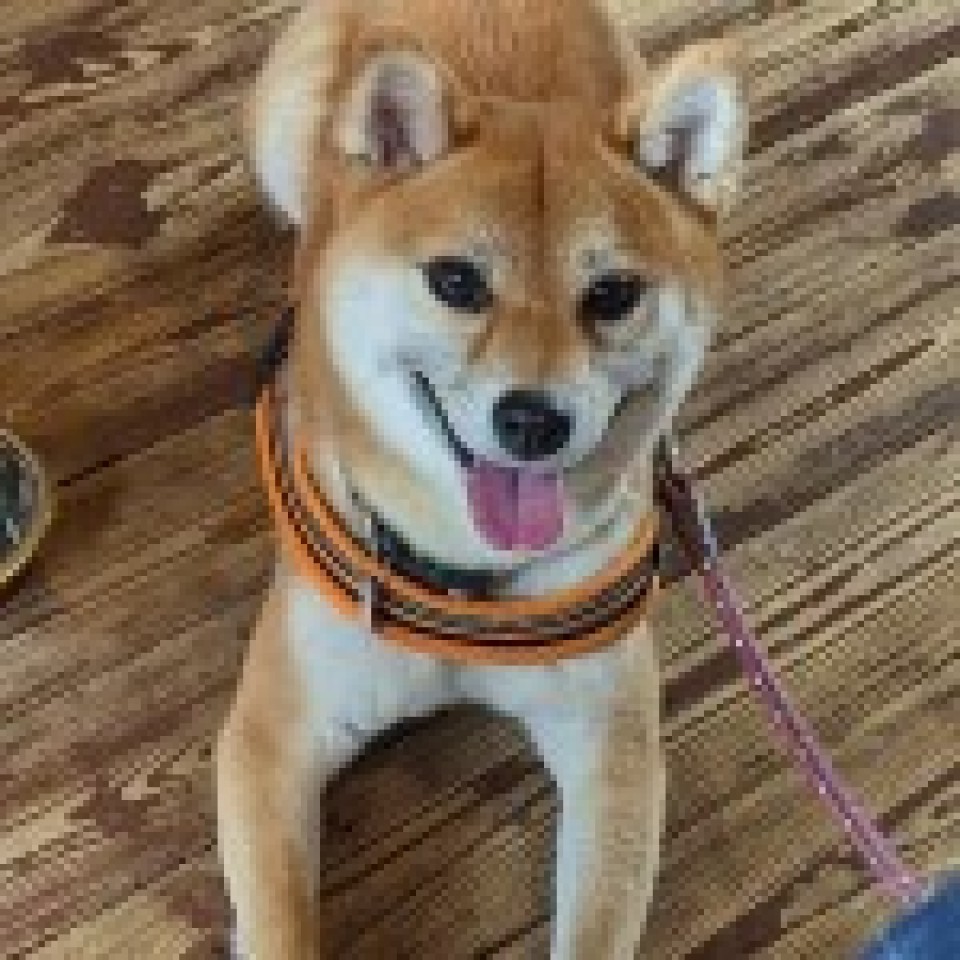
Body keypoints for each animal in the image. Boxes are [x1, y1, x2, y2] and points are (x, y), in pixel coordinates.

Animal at [216, 1, 745, 957]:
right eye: (456, 282)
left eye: (613, 295)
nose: (532, 421)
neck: (469, 578)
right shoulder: (270, 746)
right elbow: (278, 927)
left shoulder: (613, 757)